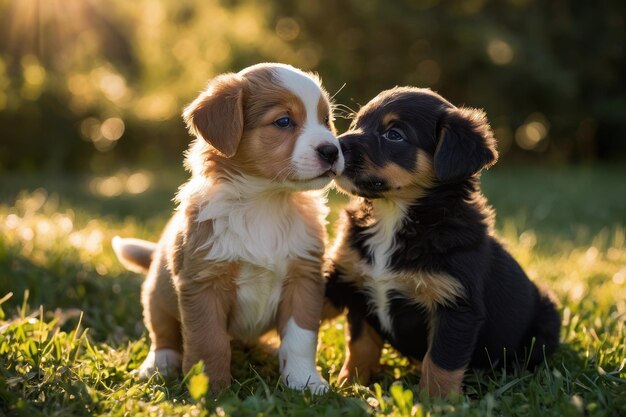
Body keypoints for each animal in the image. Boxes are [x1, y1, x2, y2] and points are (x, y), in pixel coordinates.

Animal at [114, 62, 344, 394]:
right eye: (284, 121)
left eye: (326, 120)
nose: (332, 151)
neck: (265, 203)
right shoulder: (203, 285)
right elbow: (209, 342)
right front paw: (210, 389)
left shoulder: (304, 279)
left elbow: (300, 338)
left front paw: (305, 381)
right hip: (157, 296)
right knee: (163, 336)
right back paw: (158, 365)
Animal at [324, 87, 560, 396]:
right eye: (356, 123)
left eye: (394, 135)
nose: (333, 148)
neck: (394, 217)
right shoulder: (355, 282)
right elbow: (361, 344)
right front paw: (351, 385)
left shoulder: (455, 305)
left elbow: (441, 362)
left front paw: (434, 400)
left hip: (547, 317)